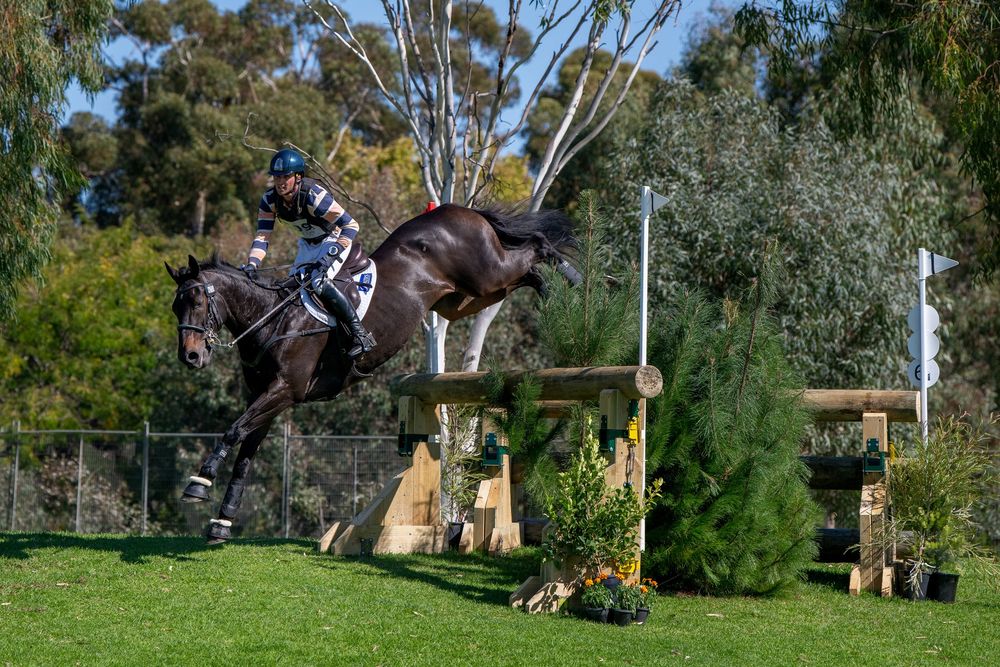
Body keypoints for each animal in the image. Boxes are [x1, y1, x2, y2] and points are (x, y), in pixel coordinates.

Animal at [165, 203, 578, 543]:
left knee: (536, 247)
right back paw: (553, 292)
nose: (190, 356)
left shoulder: (284, 390)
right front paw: (222, 523)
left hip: (485, 274)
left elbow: (234, 431)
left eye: (197, 300)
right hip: (465, 299)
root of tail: (459, 208)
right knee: (526, 275)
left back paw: (573, 278)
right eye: (175, 306)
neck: (271, 319)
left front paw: (198, 483)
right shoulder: (266, 397)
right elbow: (245, 454)